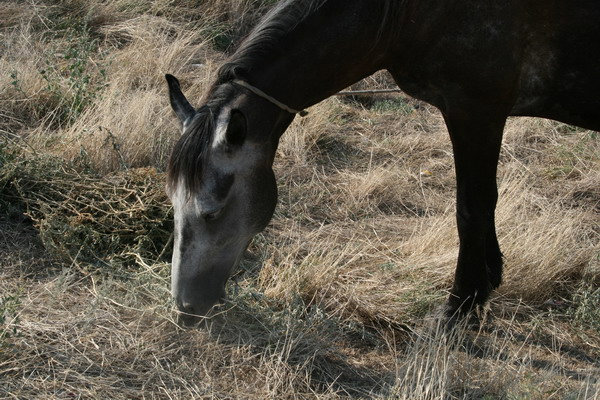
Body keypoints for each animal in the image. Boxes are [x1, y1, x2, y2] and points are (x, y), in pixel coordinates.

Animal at [164, 0, 600, 324]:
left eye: (211, 211)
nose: (185, 309)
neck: (407, 14)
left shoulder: (476, 111)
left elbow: (472, 208)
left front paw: (460, 305)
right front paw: (485, 283)